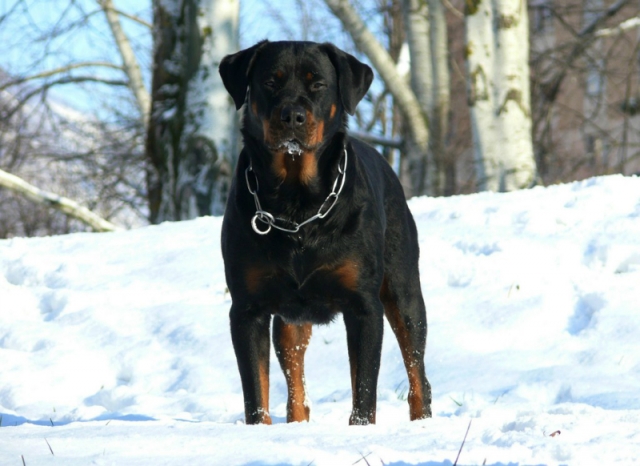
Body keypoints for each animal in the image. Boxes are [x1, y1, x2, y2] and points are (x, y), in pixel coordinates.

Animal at [218, 41, 432, 426]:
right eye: (270, 82)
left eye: (317, 84)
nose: (292, 116)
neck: (297, 207)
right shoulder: (246, 308)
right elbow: (256, 391)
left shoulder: (364, 306)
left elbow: (364, 388)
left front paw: (362, 428)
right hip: (290, 320)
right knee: (295, 383)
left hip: (404, 291)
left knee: (417, 370)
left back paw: (423, 423)